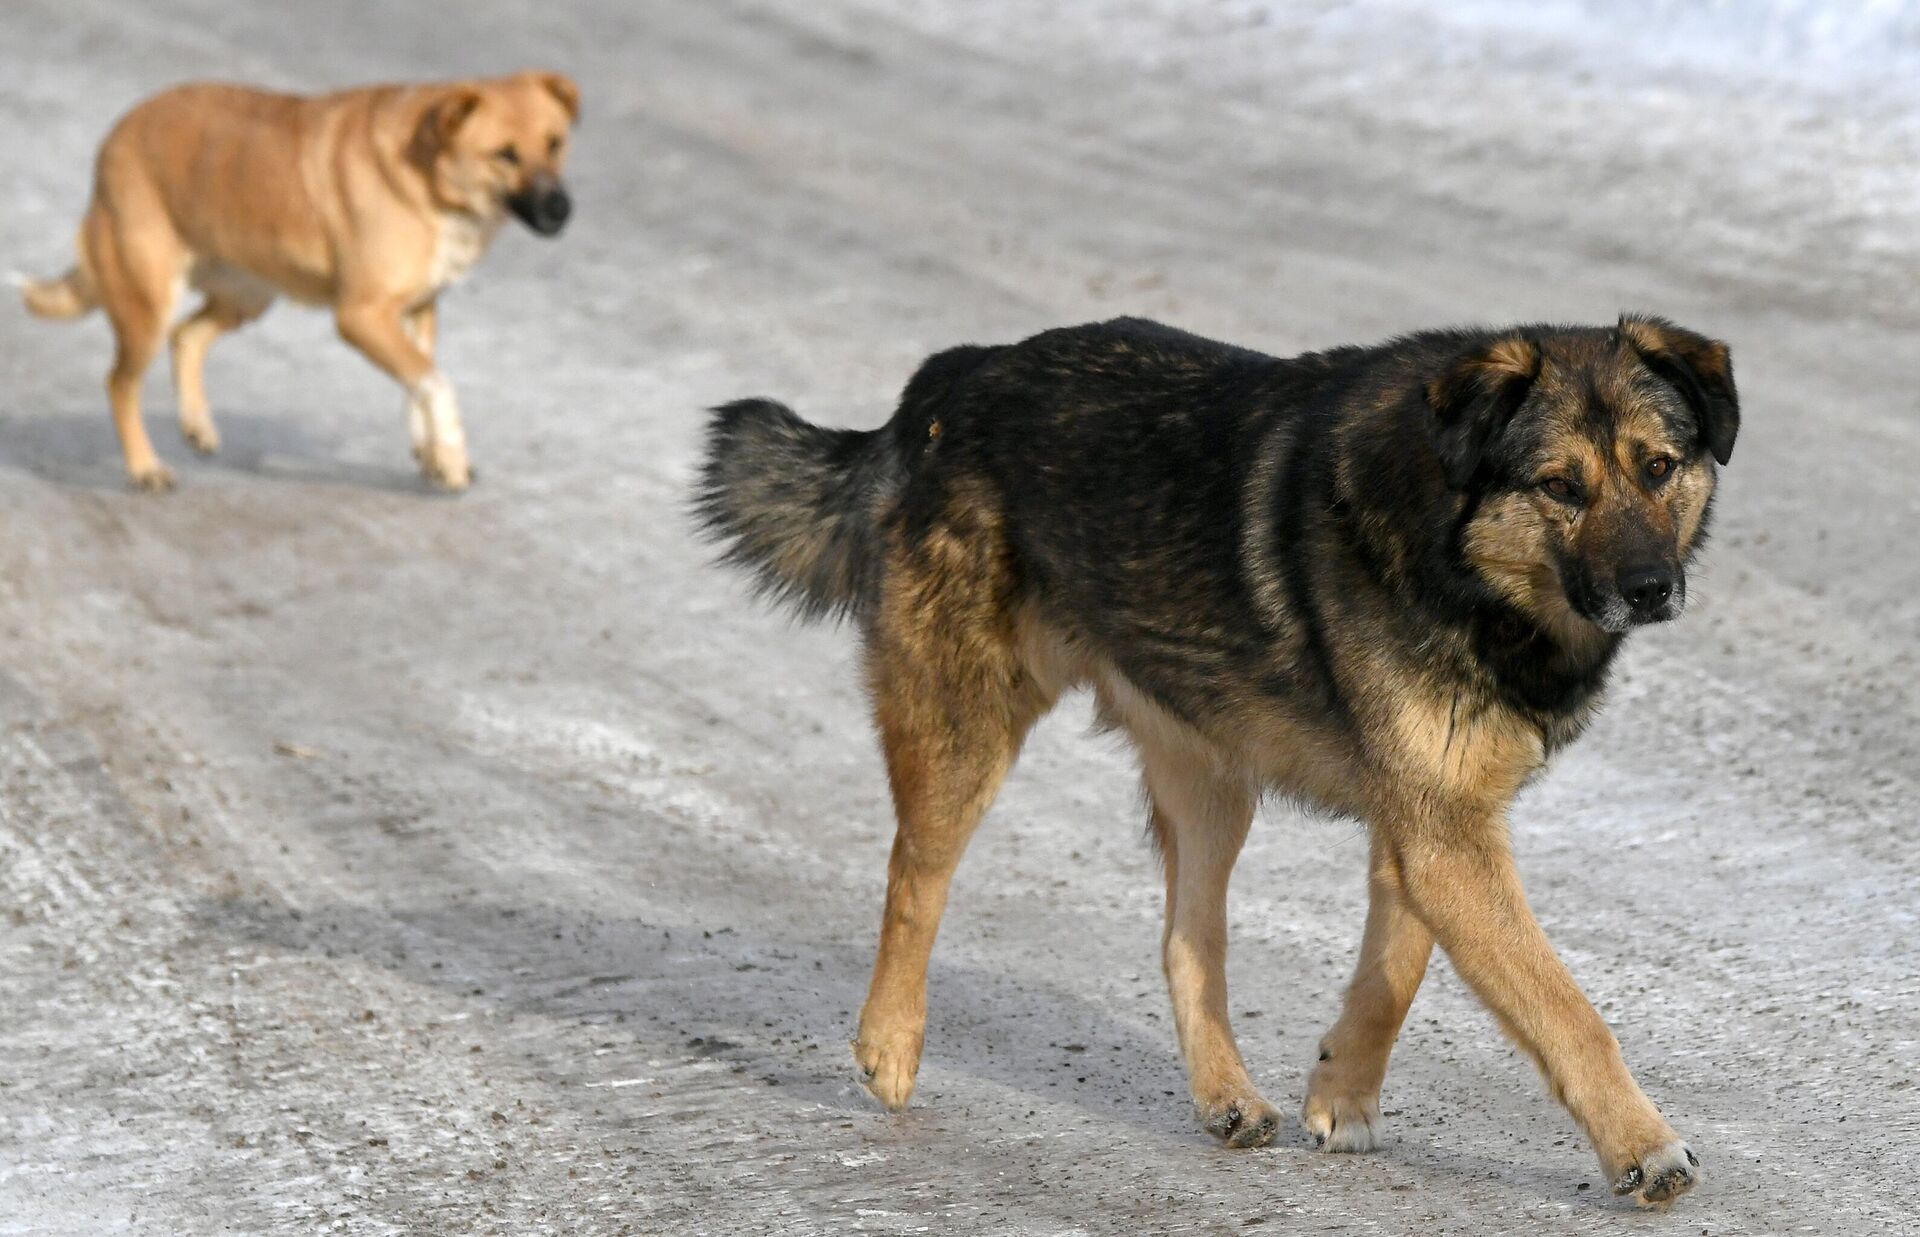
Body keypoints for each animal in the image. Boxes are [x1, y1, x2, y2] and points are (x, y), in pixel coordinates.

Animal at [20, 71, 576, 487]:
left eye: (555, 144)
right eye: (505, 154)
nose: (562, 211)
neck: (428, 177)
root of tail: (116, 135)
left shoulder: (417, 308)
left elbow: (418, 380)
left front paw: (433, 452)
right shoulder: (360, 317)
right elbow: (434, 382)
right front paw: (453, 455)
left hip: (247, 295)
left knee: (187, 336)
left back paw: (196, 424)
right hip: (147, 302)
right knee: (120, 382)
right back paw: (144, 467)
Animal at [698, 316, 1735, 1206]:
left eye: (1658, 467)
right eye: (1560, 485)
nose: (1652, 587)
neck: (1460, 554)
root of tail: (951, 377)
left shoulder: (1431, 822)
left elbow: (1395, 969)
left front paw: (1342, 1090)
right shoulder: (1443, 835)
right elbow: (1567, 1009)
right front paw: (1643, 1147)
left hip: (1210, 779)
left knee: (1184, 939)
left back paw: (1226, 1093)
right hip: (966, 725)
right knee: (913, 876)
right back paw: (889, 1046)